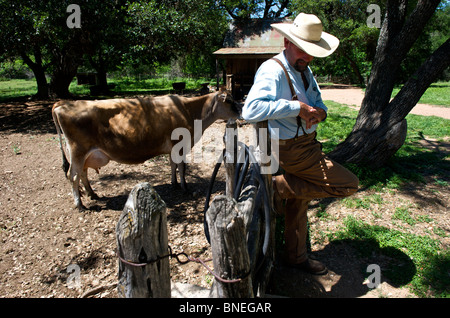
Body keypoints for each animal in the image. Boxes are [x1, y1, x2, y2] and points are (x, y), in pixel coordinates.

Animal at [51, 90, 243, 210]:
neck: (189, 110)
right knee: (73, 175)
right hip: (78, 151)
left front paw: (174, 183)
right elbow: (182, 167)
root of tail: (64, 103)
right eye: (230, 100)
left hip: (84, 154)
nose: (241, 111)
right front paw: (184, 187)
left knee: (82, 174)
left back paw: (92, 194)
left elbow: (173, 165)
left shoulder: (173, 148)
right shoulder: (180, 144)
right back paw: (80, 204)